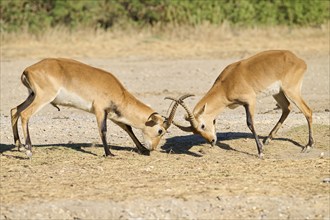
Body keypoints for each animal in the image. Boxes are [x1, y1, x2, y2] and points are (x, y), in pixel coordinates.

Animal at [10, 58, 188, 158]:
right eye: (160, 130)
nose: (154, 148)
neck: (117, 90)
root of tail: (28, 69)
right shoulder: (100, 110)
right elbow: (103, 130)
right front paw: (109, 153)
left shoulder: (112, 114)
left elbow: (128, 128)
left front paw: (142, 149)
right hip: (43, 98)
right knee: (24, 114)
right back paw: (29, 150)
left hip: (32, 95)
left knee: (14, 110)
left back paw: (19, 146)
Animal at [168, 49, 314, 158]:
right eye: (195, 132)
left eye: (202, 126)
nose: (212, 141)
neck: (225, 85)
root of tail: (299, 60)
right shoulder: (244, 104)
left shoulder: (250, 101)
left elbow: (250, 123)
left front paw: (260, 152)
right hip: (278, 93)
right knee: (287, 108)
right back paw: (268, 139)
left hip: (291, 91)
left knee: (307, 111)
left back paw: (308, 146)